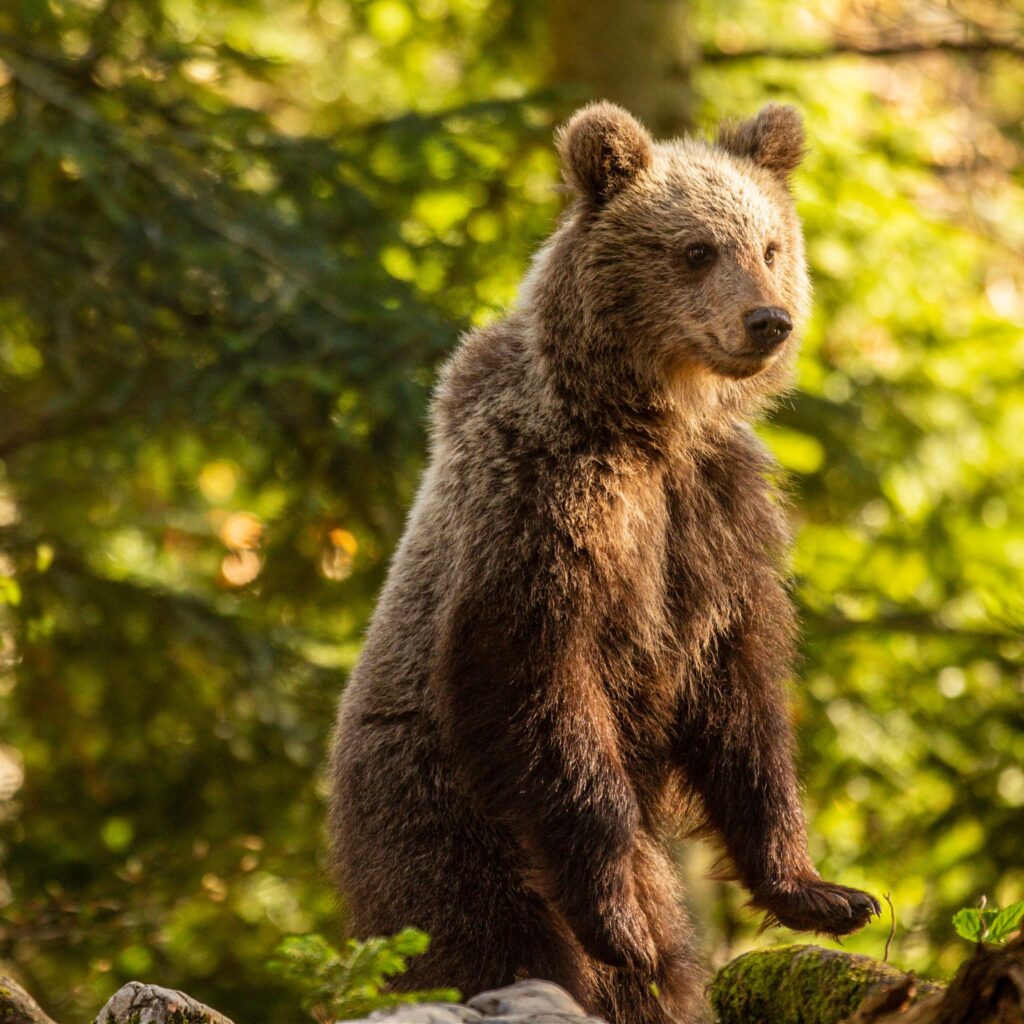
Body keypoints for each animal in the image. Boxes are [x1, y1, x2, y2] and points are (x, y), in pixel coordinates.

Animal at [329, 97, 880, 1024]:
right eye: (696, 250)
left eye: (771, 244)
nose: (768, 321)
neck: (652, 422)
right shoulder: (547, 506)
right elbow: (544, 684)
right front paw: (618, 920)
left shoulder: (711, 521)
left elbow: (741, 703)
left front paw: (825, 892)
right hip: (437, 813)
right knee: (482, 936)